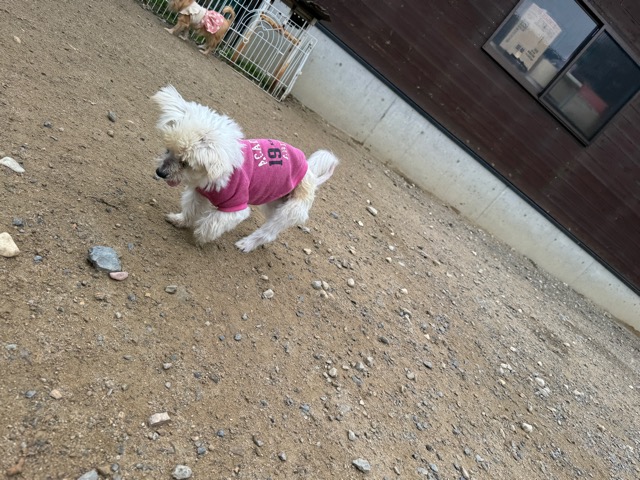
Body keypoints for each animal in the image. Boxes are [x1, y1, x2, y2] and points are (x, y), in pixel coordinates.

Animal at [151, 85, 339, 252]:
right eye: (168, 149)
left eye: (185, 163)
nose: (160, 172)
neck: (214, 174)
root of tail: (312, 176)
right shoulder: (199, 194)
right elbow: (191, 209)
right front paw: (180, 220)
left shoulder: (235, 207)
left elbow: (212, 223)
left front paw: (200, 236)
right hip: (273, 201)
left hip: (288, 211)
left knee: (268, 232)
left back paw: (246, 244)